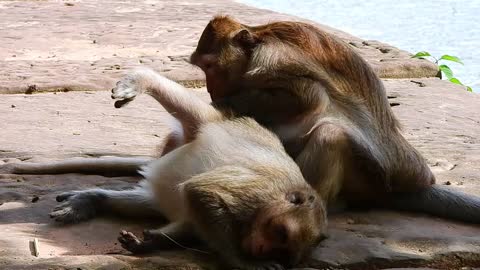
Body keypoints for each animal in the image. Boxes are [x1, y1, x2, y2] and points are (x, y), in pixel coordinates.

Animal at [8, 68, 326, 268]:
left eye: (284, 249)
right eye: (280, 234)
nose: (260, 250)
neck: (271, 204)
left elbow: (192, 216)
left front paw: (150, 242)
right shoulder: (255, 193)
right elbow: (202, 192)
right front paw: (244, 263)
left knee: (152, 200)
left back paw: (92, 200)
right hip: (211, 124)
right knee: (186, 108)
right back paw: (142, 79)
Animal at [184, 14, 480, 223]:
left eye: (209, 66)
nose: (211, 88)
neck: (258, 40)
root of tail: (394, 191)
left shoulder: (274, 60)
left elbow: (308, 96)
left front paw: (223, 103)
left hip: (366, 178)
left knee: (330, 134)